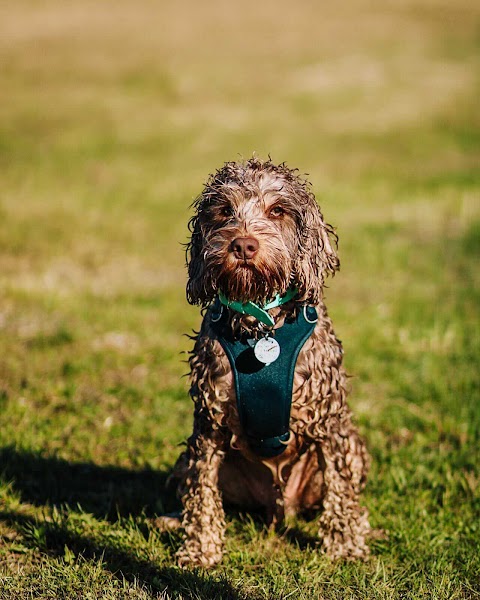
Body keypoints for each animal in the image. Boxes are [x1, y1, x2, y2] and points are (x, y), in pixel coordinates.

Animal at [169, 155, 372, 568]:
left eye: (277, 210)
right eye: (224, 210)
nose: (244, 245)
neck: (261, 320)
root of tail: (279, 508)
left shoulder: (330, 422)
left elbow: (341, 487)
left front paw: (345, 545)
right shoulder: (208, 425)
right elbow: (202, 491)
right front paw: (200, 548)